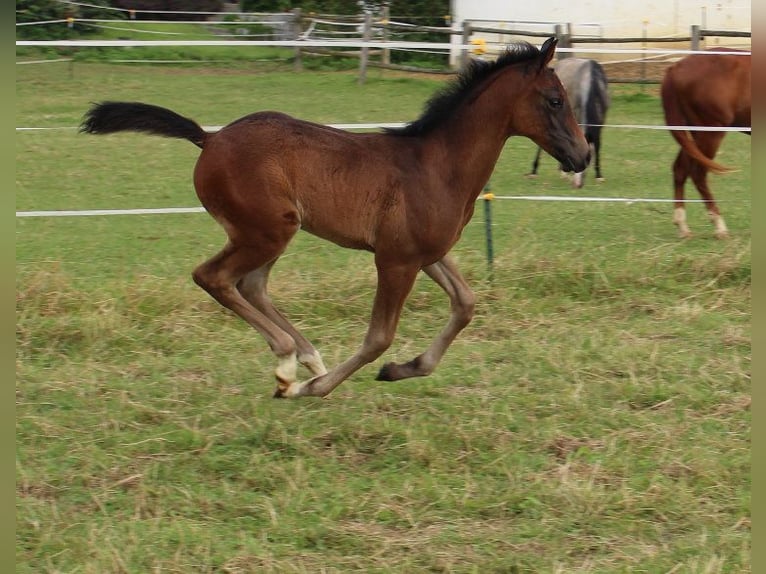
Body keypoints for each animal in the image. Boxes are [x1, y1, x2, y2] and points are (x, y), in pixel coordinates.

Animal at [82, 38, 588, 398]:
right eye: (555, 100)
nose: (582, 155)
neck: (436, 164)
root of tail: (209, 138)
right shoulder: (396, 261)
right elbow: (379, 336)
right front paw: (320, 388)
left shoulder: (426, 253)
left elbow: (465, 305)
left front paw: (401, 370)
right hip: (266, 231)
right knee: (214, 277)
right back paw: (292, 364)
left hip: (268, 232)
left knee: (251, 284)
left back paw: (302, 361)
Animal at [664, 47, 752, 238]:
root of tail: (676, 67)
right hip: (710, 133)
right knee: (698, 174)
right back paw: (719, 226)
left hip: (694, 137)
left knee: (680, 169)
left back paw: (682, 226)